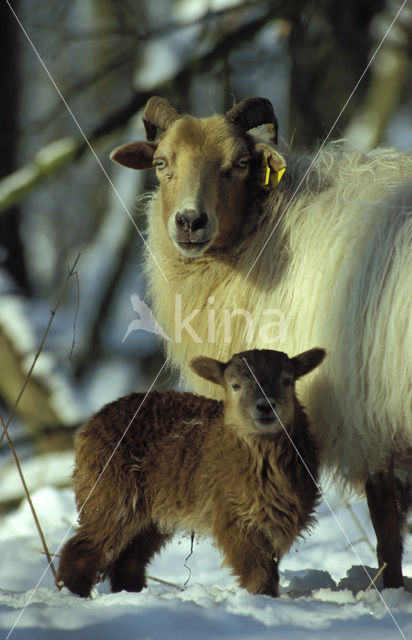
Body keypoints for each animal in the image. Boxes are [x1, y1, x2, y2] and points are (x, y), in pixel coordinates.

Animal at [57, 348, 326, 596]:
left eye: (287, 381)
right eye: (235, 386)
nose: (266, 406)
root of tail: (89, 424)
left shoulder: (279, 521)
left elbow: (269, 568)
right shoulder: (232, 516)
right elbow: (257, 573)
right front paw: (262, 600)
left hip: (151, 514)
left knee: (129, 561)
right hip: (111, 493)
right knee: (81, 551)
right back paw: (74, 594)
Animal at [109, 95, 412, 592]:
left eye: (240, 163)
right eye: (161, 163)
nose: (189, 222)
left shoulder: (367, 407)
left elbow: (384, 516)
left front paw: (388, 587)